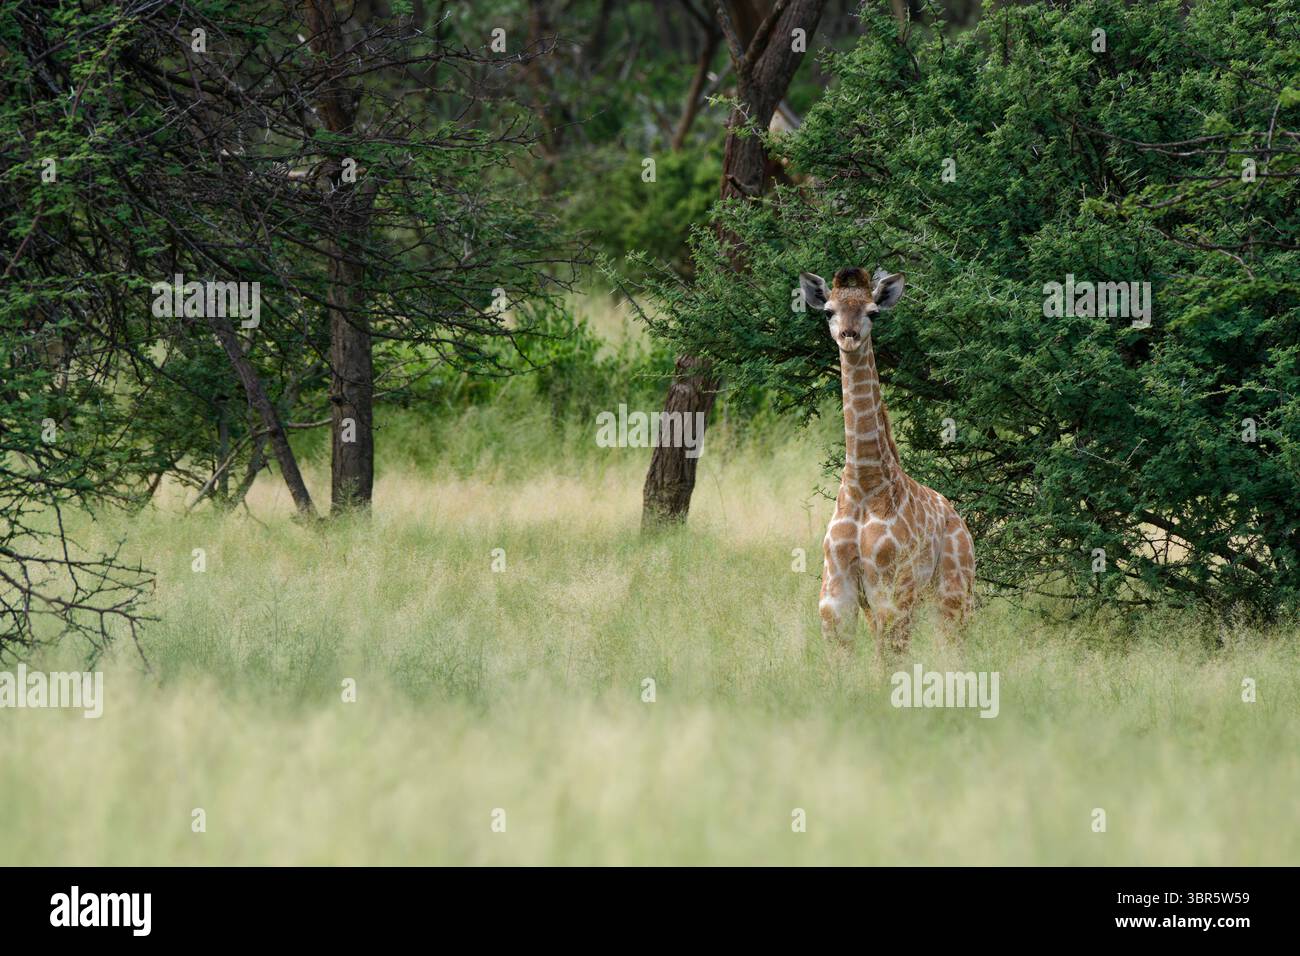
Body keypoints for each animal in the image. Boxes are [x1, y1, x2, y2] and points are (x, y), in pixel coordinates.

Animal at [800, 267, 975, 656]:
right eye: (829, 311)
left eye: (873, 313)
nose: (849, 337)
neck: (864, 484)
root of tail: (957, 517)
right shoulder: (836, 597)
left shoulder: (891, 593)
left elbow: (888, 662)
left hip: (954, 590)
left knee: (953, 648)